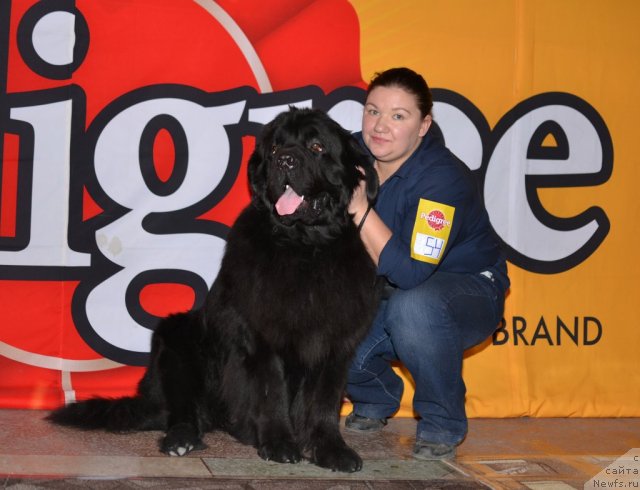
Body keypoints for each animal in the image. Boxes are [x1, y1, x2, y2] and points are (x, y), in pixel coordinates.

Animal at [51, 107, 380, 470]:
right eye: (275, 148)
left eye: (317, 147)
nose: (285, 160)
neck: (304, 248)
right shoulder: (261, 338)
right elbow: (273, 391)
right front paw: (279, 444)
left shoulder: (335, 343)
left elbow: (324, 400)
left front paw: (331, 449)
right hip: (176, 339)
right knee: (182, 411)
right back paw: (181, 440)